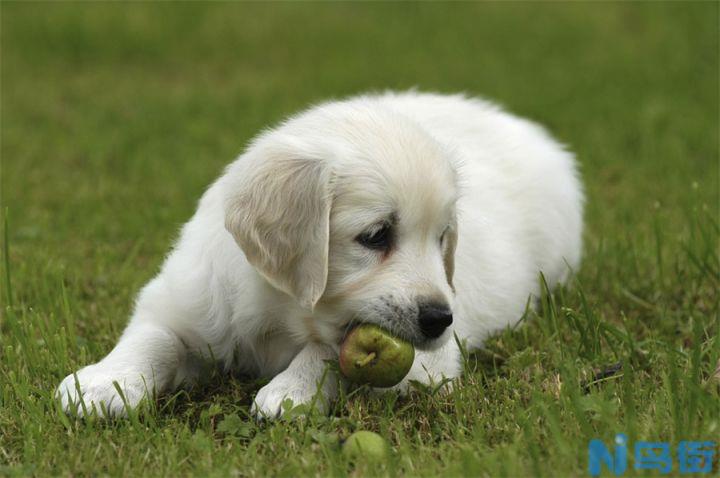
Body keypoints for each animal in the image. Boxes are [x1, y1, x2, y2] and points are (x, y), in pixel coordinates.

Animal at [57, 91, 584, 416]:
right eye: (376, 236)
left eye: (442, 239)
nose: (440, 319)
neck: (281, 312)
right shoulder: (185, 297)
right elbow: (153, 336)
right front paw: (104, 382)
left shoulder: (427, 367)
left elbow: (331, 349)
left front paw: (291, 391)